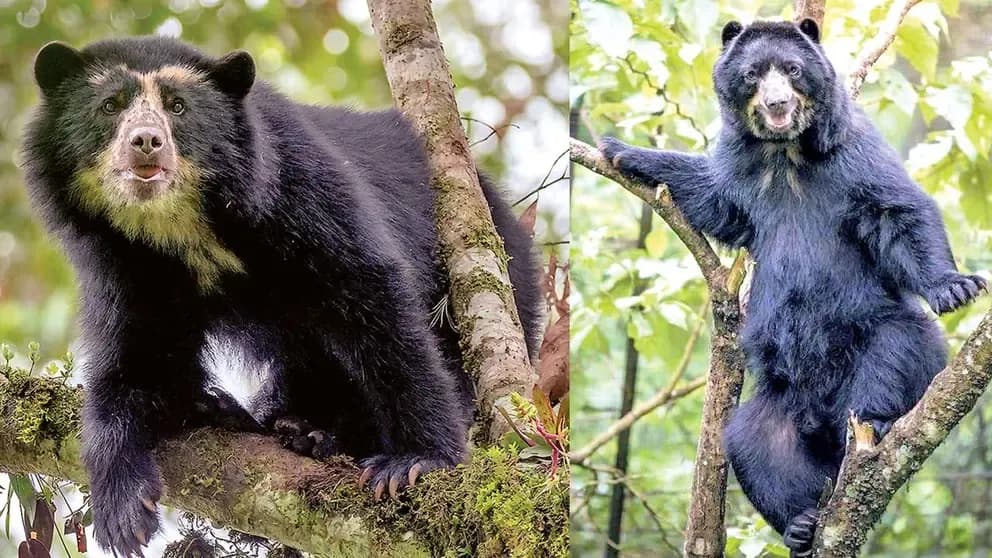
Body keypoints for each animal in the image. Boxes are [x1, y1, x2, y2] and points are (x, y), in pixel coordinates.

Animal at [21, 36, 543, 556]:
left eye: (178, 107)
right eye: (110, 106)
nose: (146, 142)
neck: (181, 225)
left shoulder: (297, 189)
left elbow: (374, 301)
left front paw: (412, 463)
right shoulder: (124, 265)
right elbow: (133, 359)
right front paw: (124, 511)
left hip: (494, 263)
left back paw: (317, 434)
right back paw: (251, 415)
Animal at [599, 19, 985, 556]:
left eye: (793, 69)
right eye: (753, 74)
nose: (777, 103)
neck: (785, 153)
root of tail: (819, 415)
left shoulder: (854, 153)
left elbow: (899, 211)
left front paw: (956, 286)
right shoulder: (740, 171)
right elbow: (712, 195)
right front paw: (621, 150)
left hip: (881, 336)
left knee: (897, 351)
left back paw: (878, 422)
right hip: (778, 400)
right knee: (752, 443)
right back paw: (801, 523)